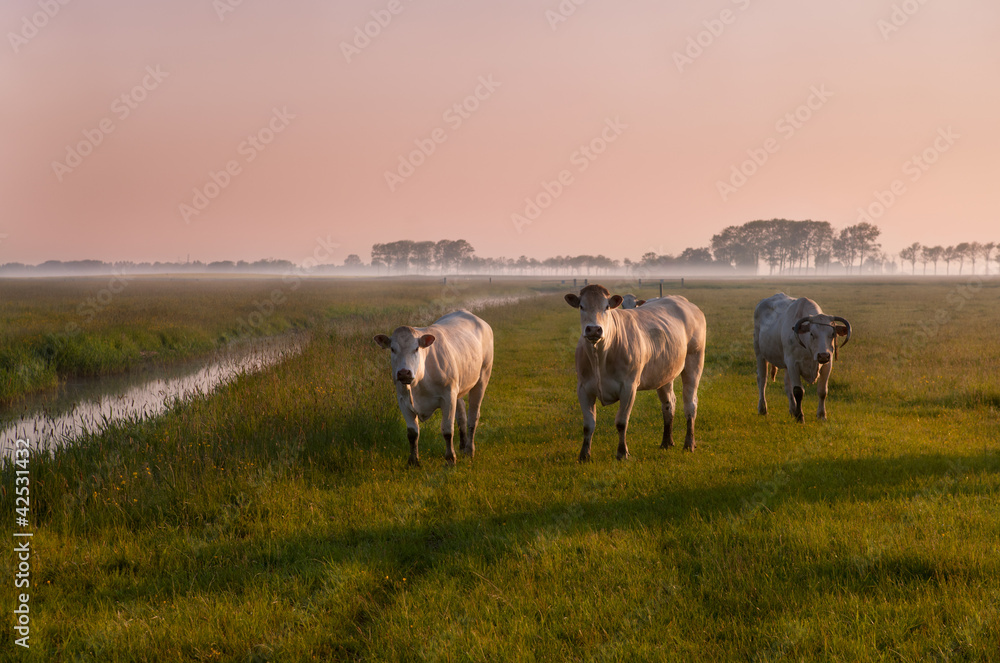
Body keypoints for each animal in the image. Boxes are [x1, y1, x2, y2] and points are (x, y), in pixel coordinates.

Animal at [374, 310, 493, 466]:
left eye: (416, 348)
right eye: (393, 349)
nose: (404, 372)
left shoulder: (448, 397)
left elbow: (447, 430)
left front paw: (450, 458)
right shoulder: (403, 400)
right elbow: (412, 433)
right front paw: (413, 460)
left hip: (482, 378)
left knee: (473, 417)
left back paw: (469, 450)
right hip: (458, 387)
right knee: (462, 415)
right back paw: (462, 445)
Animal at [565, 284, 707, 461]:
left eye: (606, 307)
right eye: (581, 306)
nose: (594, 329)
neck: (600, 356)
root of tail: (683, 301)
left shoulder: (628, 387)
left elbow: (621, 422)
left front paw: (622, 453)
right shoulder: (583, 388)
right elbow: (588, 424)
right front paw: (584, 455)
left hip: (694, 361)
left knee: (690, 404)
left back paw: (689, 443)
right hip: (665, 372)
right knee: (669, 404)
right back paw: (667, 442)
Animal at [753, 293, 852, 422]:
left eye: (832, 334)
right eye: (812, 333)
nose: (823, 355)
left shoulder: (827, 365)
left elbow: (822, 391)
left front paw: (821, 415)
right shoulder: (793, 364)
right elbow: (798, 391)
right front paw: (800, 417)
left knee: (787, 385)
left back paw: (792, 410)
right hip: (760, 353)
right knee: (762, 380)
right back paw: (763, 409)